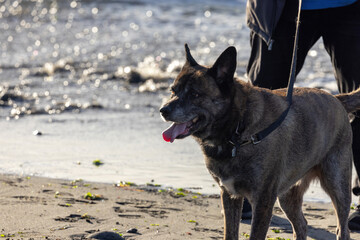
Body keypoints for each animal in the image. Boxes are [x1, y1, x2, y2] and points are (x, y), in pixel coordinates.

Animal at [160, 45, 360, 240]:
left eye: (194, 94)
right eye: (173, 90)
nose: (163, 110)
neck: (238, 131)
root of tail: (336, 98)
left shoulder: (263, 201)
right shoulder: (230, 196)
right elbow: (230, 233)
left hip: (337, 186)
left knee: (342, 229)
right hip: (287, 195)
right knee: (302, 225)